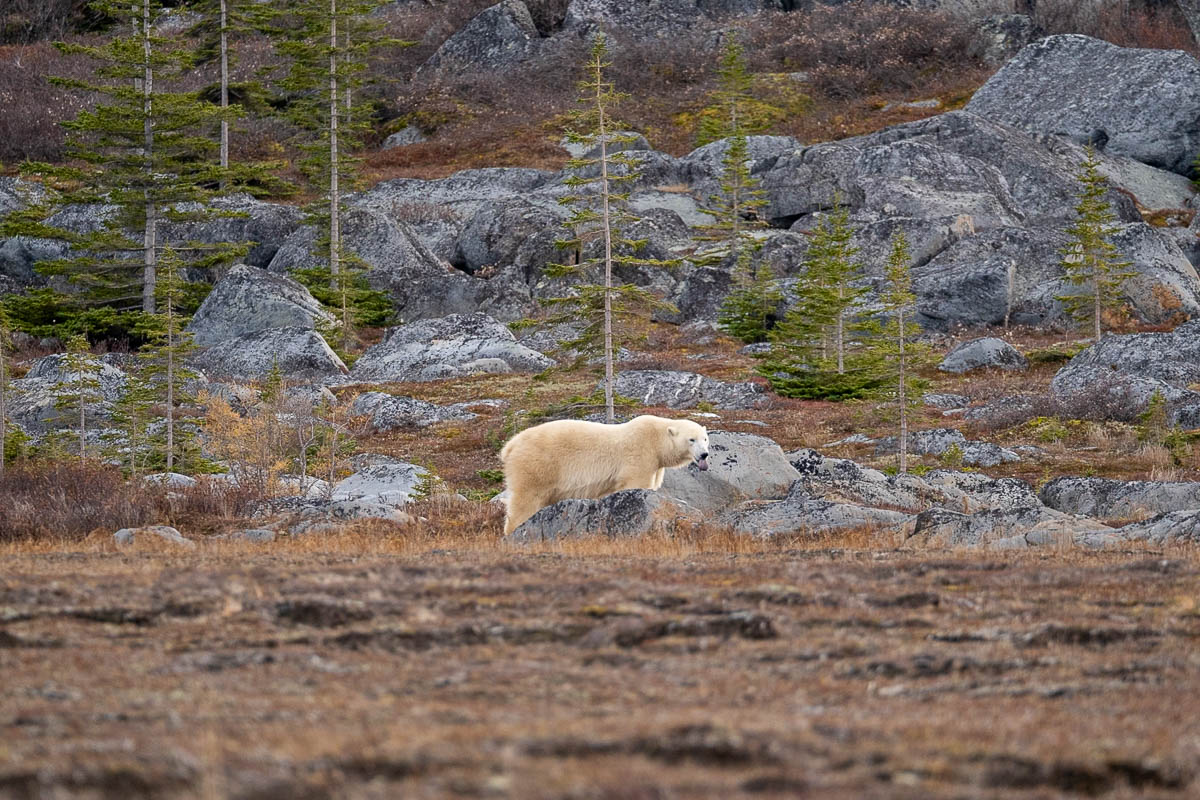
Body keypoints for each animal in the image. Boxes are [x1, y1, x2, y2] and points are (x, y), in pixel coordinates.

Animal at [499, 417, 710, 534]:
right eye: (691, 439)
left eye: (705, 439)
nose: (704, 455)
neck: (657, 439)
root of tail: (510, 446)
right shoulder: (640, 454)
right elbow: (636, 483)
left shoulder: (656, 464)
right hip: (536, 465)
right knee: (526, 500)